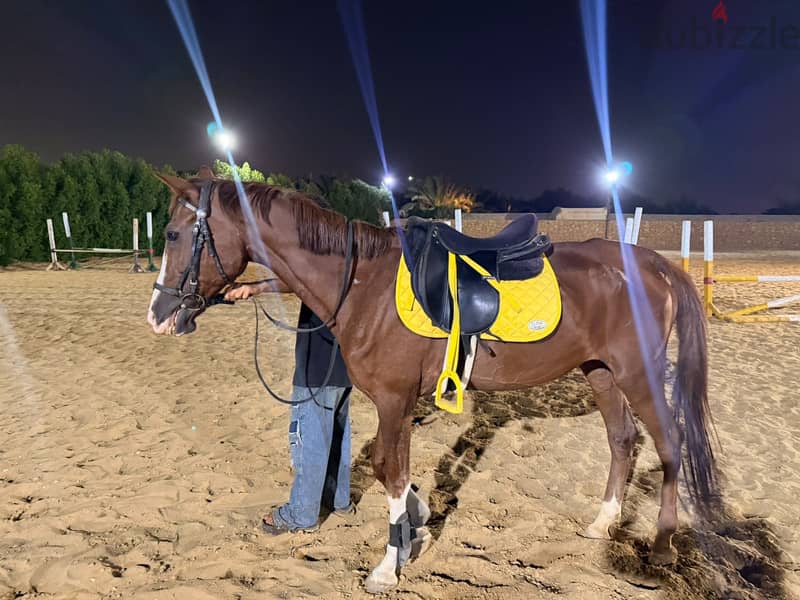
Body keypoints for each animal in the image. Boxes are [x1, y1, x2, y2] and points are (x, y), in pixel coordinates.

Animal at [146, 170, 718, 593]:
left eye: (173, 235)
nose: (158, 315)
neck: (364, 282)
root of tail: (654, 264)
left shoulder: (394, 400)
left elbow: (389, 470)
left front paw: (387, 564)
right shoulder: (394, 404)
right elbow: (392, 470)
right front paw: (413, 530)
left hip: (638, 373)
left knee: (669, 443)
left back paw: (662, 546)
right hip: (600, 373)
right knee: (623, 439)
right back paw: (601, 524)